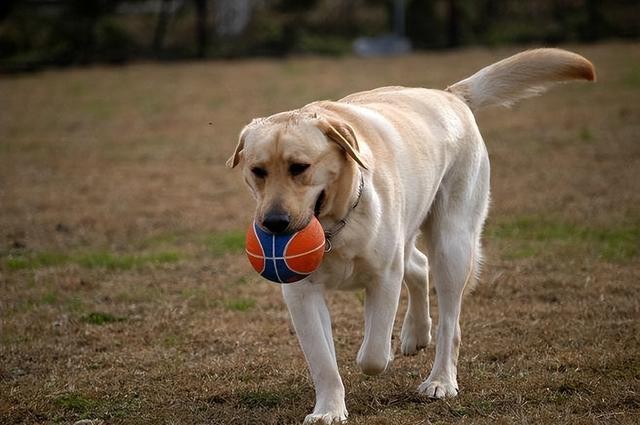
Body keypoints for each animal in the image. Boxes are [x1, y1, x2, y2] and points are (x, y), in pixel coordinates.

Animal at [226, 48, 596, 422]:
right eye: (258, 171)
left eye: (300, 168)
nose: (274, 222)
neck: (336, 227)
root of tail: (450, 95)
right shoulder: (301, 292)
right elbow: (322, 361)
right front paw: (329, 409)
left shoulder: (384, 278)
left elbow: (373, 355)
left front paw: (374, 356)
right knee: (418, 266)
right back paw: (415, 334)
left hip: (452, 245)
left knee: (449, 322)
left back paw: (441, 380)